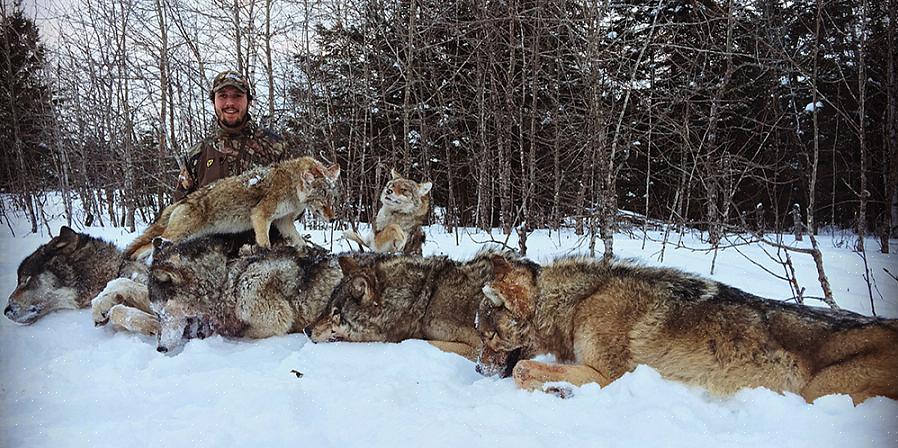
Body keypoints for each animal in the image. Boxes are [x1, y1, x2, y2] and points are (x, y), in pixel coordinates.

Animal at [122, 157, 340, 260]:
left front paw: (307, 251)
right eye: (322, 201)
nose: (333, 219)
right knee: (148, 245)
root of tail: (181, 202)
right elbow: (265, 243)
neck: (291, 185)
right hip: (179, 235)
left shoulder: (283, 221)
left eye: (332, 200)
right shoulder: (260, 216)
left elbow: (299, 241)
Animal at [150, 234, 340, 354]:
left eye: (163, 313)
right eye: (157, 315)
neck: (225, 277)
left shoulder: (274, 316)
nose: (160, 348)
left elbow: (244, 331)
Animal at [476, 254, 896, 404]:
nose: (477, 369)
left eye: (488, 335)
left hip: (821, 392)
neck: (579, 303)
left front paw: (559, 390)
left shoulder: (610, 375)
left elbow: (522, 369)